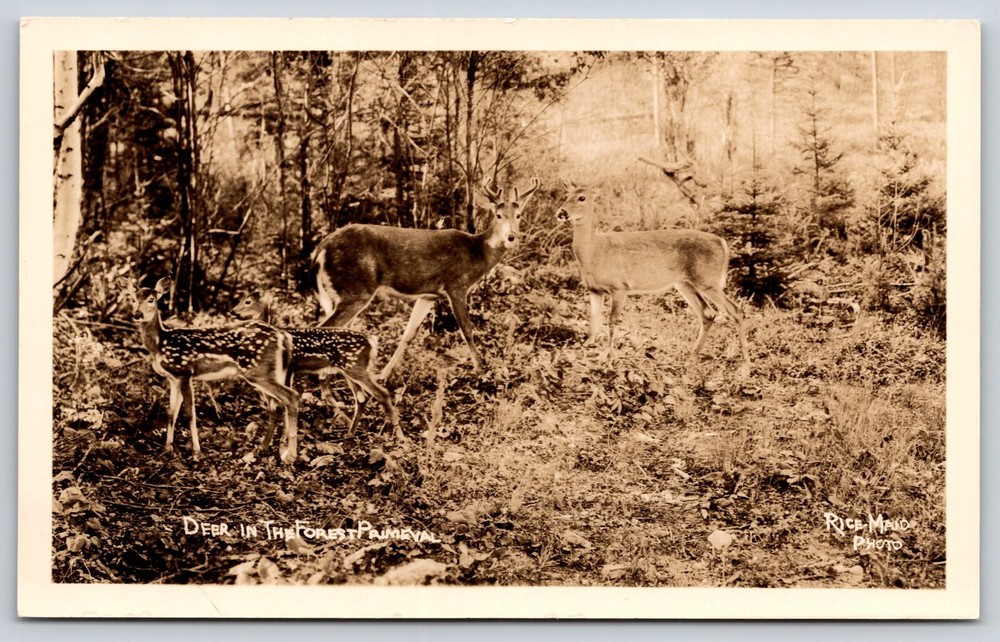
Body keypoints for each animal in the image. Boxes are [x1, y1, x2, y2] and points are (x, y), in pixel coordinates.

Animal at [122, 277, 301, 463]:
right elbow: (171, 413)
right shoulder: (173, 378)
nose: (137, 314)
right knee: (278, 405)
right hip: (270, 373)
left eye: (151, 300)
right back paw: (268, 449)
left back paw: (290, 455)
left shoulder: (184, 372)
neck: (160, 344)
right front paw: (168, 449)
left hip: (258, 372)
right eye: (133, 299)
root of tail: (283, 336)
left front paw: (196, 452)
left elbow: (190, 414)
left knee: (291, 397)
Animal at [231, 291, 403, 441]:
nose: (233, 312)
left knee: (382, 394)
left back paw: (400, 437)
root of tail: (371, 341)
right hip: (350, 369)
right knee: (362, 398)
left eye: (248, 302)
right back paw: (349, 434)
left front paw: (285, 437)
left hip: (355, 367)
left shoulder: (289, 367)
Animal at [312, 176, 541, 379]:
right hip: (356, 289)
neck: (476, 252)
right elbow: (467, 330)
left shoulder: (428, 295)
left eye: (519, 215)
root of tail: (322, 248)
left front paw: (384, 375)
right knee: (322, 329)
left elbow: (409, 334)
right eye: (498, 215)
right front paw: (481, 369)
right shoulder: (456, 285)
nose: (511, 237)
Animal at [554, 181, 750, 370]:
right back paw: (691, 359)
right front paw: (588, 351)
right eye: (566, 196)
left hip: (708, 280)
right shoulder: (594, 290)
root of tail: (723, 243)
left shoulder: (620, 287)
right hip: (685, 283)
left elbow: (612, 322)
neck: (594, 252)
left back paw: (745, 365)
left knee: (735, 310)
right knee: (708, 313)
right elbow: (593, 321)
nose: (561, 213)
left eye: (582, 197)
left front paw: (610, 359)